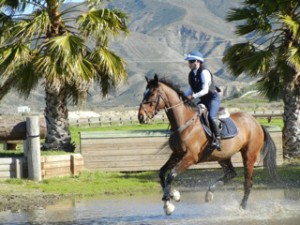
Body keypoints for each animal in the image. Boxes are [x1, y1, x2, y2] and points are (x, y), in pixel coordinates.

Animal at [137, 74, 278, 216]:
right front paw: (172, 197)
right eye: (144, 93)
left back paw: (242, 207)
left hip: (249, 156)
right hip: (223, 156)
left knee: (248, 183)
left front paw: (169, 203)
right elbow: (162, 173)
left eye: (152, 94)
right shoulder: (176, 154)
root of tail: (256, 123)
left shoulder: (190, 157)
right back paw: (209, 193)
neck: (185, 122)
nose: (141, 117)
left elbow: (171, 174)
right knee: (231, 174)